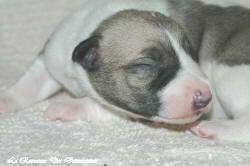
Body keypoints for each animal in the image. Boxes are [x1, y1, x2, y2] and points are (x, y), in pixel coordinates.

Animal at [0, 0, 212, 132]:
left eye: (193, 54)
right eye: (145, 64)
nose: (205, 97)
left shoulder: (126, 109)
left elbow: (95, 104)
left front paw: (66, 106)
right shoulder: (52, 56)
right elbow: (29, 85)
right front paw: (5, 100)